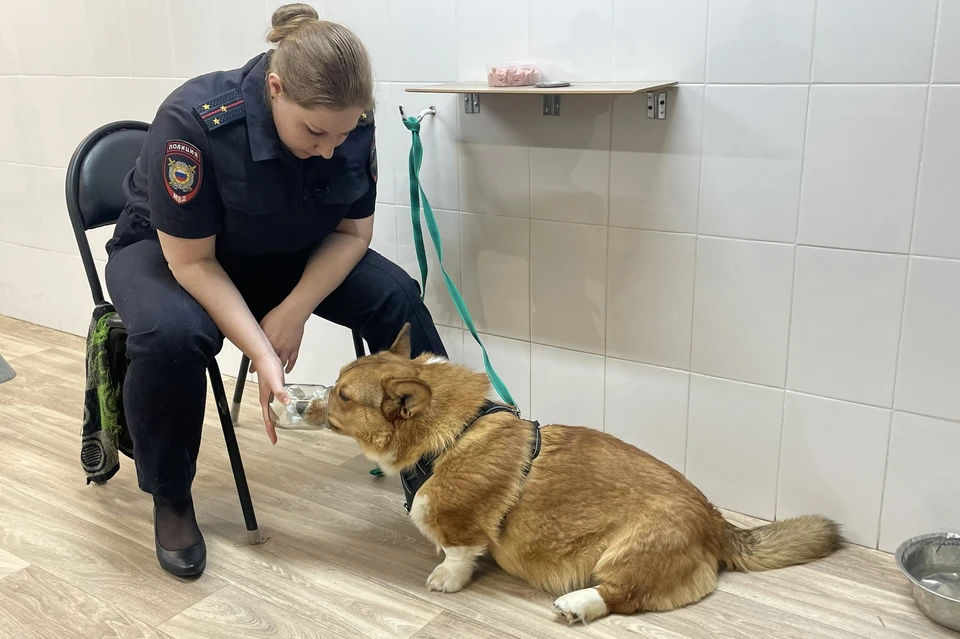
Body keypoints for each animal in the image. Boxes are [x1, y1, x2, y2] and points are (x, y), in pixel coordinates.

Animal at [316, 324, 843, 624]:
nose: (309, 402)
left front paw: (446, 576)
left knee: (623, 595)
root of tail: (717, 523)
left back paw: (577, 604)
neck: (453, 432)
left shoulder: (458, 522)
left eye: (343, 395)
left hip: (630, 552)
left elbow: (458, 552)